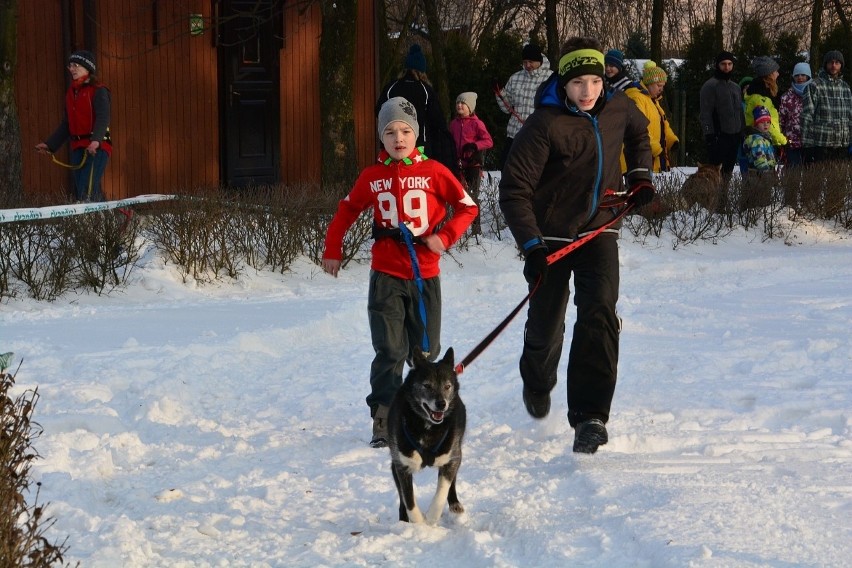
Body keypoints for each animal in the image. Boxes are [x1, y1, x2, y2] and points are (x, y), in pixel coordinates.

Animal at [388, 348, 466, 524]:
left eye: (447, 386)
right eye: (427, 385)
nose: (441, 404)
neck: (428, 428)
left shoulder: (451, 458)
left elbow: (442, 490)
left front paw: (431, 518)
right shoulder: (401, 465)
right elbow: (408, 499)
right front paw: (418, 524)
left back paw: (454, 503)